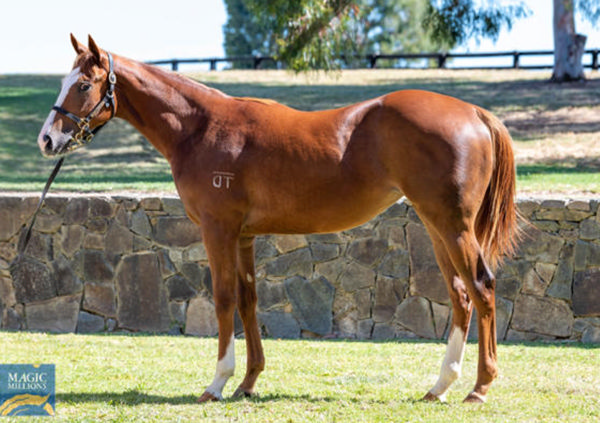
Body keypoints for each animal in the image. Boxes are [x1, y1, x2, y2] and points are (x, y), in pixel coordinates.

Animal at [37, 36, 516, 404]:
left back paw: (479, 388)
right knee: (460, 295)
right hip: (437, 227)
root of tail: (474, 113)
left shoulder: (218, 230)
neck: (201, 127)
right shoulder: (244, 237)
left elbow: (224, 299)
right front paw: (248, 383)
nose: (47, 139)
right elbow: (248, 301)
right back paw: (440, 386)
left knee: (481, 287)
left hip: (453, 226)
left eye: (83, 84)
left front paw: (217, 383)